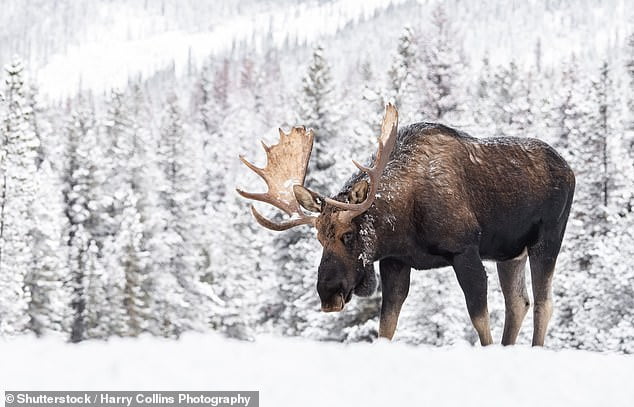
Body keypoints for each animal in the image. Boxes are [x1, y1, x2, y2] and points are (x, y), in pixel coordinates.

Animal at [237, 105, 572, 348]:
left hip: (547, 239)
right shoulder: (395, 262)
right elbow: (386, 326)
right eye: (319, 238)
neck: (403, 223)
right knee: (518, 303)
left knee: (543, 303)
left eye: (348, 234)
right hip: (510, 254)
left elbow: (479, 320)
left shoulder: (465, 251)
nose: (328, 293)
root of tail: (570, 169)